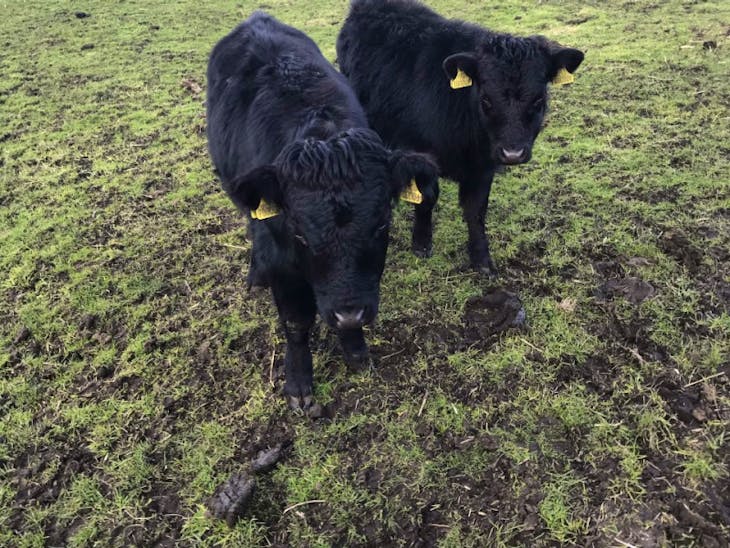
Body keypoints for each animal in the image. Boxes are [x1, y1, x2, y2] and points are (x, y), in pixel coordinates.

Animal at [207, 12, 438, 410]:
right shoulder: (281, 258)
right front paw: (299, 384)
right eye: (299, 232)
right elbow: (296, 322)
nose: (349, 313)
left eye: (381, 224)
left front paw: (356, 350)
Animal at [337, 0, 584, 275]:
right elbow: (426, 198)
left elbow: (476, 211)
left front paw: (482, 259)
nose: (513, 153)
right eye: (486, 100)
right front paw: (421, 243)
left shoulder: (483, 167)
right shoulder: (421, 154)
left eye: (538, 100)